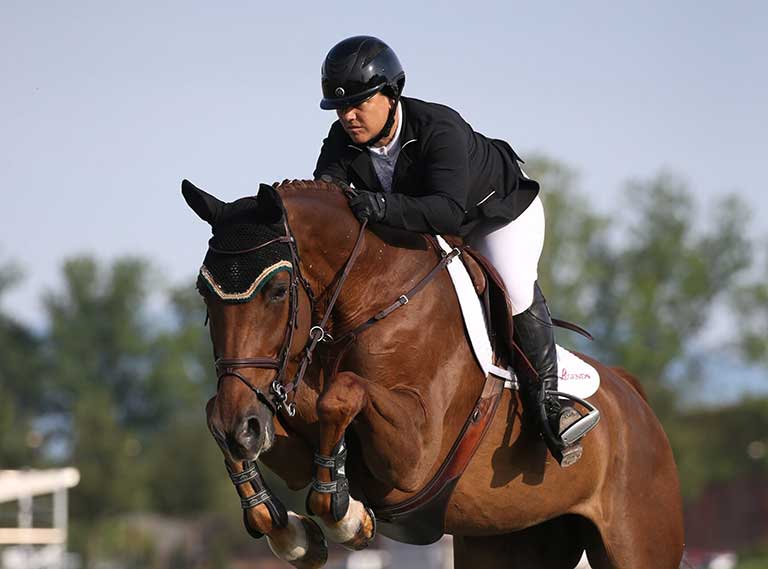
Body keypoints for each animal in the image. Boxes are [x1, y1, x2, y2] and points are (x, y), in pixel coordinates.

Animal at [182, 178, 685, 569]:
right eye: (204, 293)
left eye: (279, 290)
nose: (241, 428)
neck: (369, 299)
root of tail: (634, 398)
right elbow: (215, 413)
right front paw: (293, 533)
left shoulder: (416, 456)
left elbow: (342, 394)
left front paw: (346, 517)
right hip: (510, 539)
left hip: (637, 540)